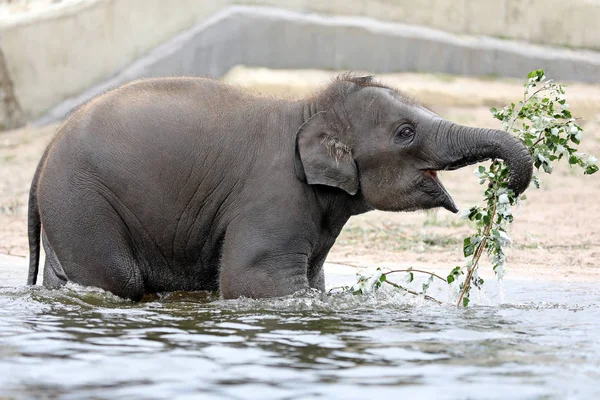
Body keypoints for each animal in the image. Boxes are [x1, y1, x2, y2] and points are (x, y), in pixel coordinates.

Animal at [28, 74, 536, 300]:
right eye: (406, 133)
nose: (507, 189)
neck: (309, 109)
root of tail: (46, 149)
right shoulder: (273, 197)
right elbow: (258, 282)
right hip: (82, 201)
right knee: (117, 279)